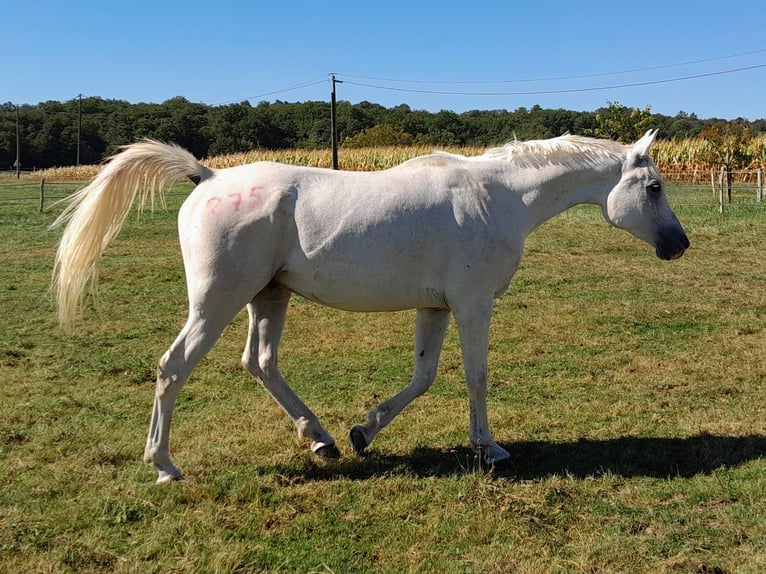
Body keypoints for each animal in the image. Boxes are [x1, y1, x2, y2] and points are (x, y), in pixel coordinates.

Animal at [52, 130, 688, 486]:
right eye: (654, 187)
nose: (679, 245)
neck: (498, 195)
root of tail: (208, 178)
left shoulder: (436, 308)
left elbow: (424, 377)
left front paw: (364, 431)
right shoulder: (473, 304)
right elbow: (476, 376)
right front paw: (490, 450)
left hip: (268, 297)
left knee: (260, 364)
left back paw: (322, 439)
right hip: (218, 301)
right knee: (174, 368)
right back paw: (164, 465)